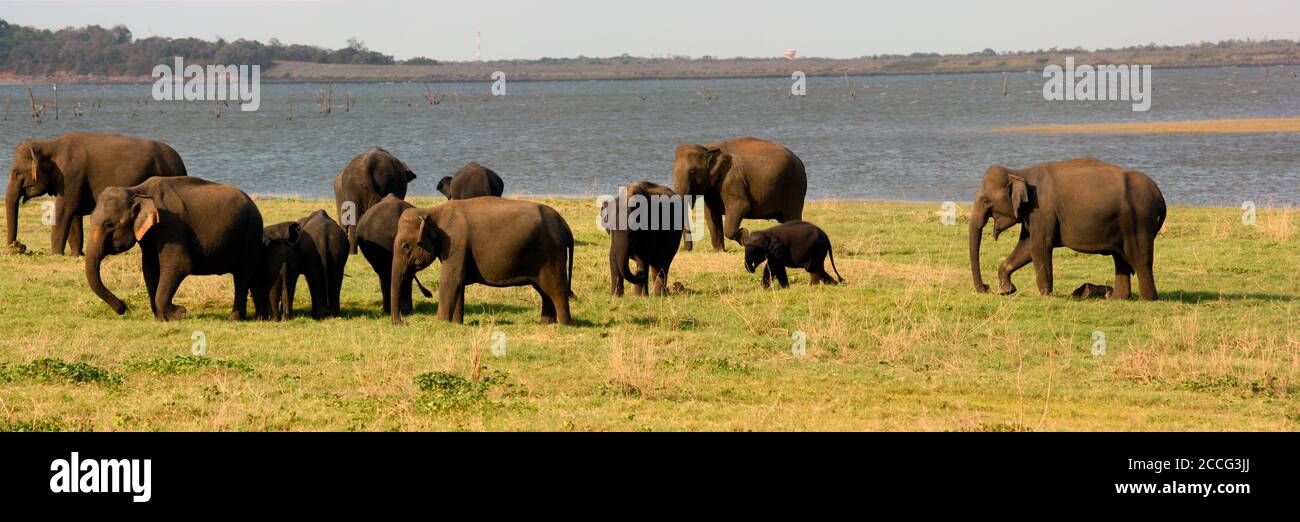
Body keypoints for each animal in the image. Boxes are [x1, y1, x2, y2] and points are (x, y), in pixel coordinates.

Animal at [5, 132, 185, 257]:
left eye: (17, 174)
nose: (17, 248)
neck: (49, 144)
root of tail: (180, 162)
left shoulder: (71, 175)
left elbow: (65, 209)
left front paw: (55, 254)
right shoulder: (73, 181)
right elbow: (74, 212)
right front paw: (76, 255)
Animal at [85, 177, 265, 320]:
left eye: (109, 225)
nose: (123, 307)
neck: (136, 190)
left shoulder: (170, 224)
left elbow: (180, 264)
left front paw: (178, 314)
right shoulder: (151, 233)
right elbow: (150, 267)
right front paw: (161, 318)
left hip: (251, 235)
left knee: (242, 276)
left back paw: (233, 320)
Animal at [390, 197, 574, 324]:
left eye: (406, 246)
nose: (401, 323)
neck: (434, 211)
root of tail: (565, 226)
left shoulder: (456, 242)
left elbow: (450, 281)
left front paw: (441, 323)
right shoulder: (458, 249)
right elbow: (458, 282)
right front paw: (456, 323)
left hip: (552, 254)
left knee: (555, 289)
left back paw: (564, 325)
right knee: (544, 291)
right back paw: (546, 323)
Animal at [676, 137, 806, 251]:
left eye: (692, 171)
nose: (687, 249)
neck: (708, 149)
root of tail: (800, 160)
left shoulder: (732, 179)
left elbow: (741, 205)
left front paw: (746, 237)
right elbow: (710, 213)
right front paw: (719, 250)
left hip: (796, 186)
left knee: (792, 217)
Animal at [967, 157, 1170, 299]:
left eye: (986, 201)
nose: (985, 288)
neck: (1021, 172)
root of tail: (1159, 194)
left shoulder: (1043, 211)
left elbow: (1038, 246)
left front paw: (1045, 295)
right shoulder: (1032, 214)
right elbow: (1025, 247)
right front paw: (1006, 290)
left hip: (1139, 221)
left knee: (1139, 259)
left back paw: (1147, 299)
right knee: (1120, 258)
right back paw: (1116, 299)